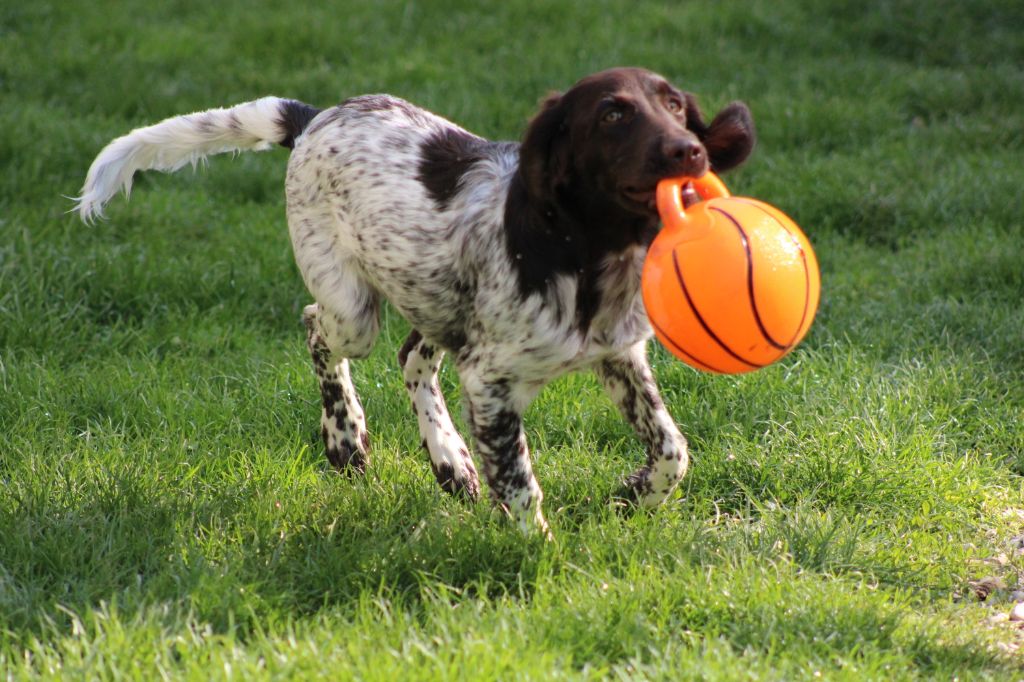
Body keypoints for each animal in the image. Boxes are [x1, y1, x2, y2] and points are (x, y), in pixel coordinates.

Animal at [75, 67, 753, 532]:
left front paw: (632, 494)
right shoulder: (490, 381)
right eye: (613, 115)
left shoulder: (620, 355)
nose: (690, 151)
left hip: (433, 294)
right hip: (353, 306)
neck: (585, 251)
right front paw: (535, 551)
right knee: (318, 329)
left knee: (411, 357)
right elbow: (521, 486)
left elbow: (673, 449)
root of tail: (313, 116)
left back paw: (450, 460)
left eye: (675, 106)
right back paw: (347, 438)